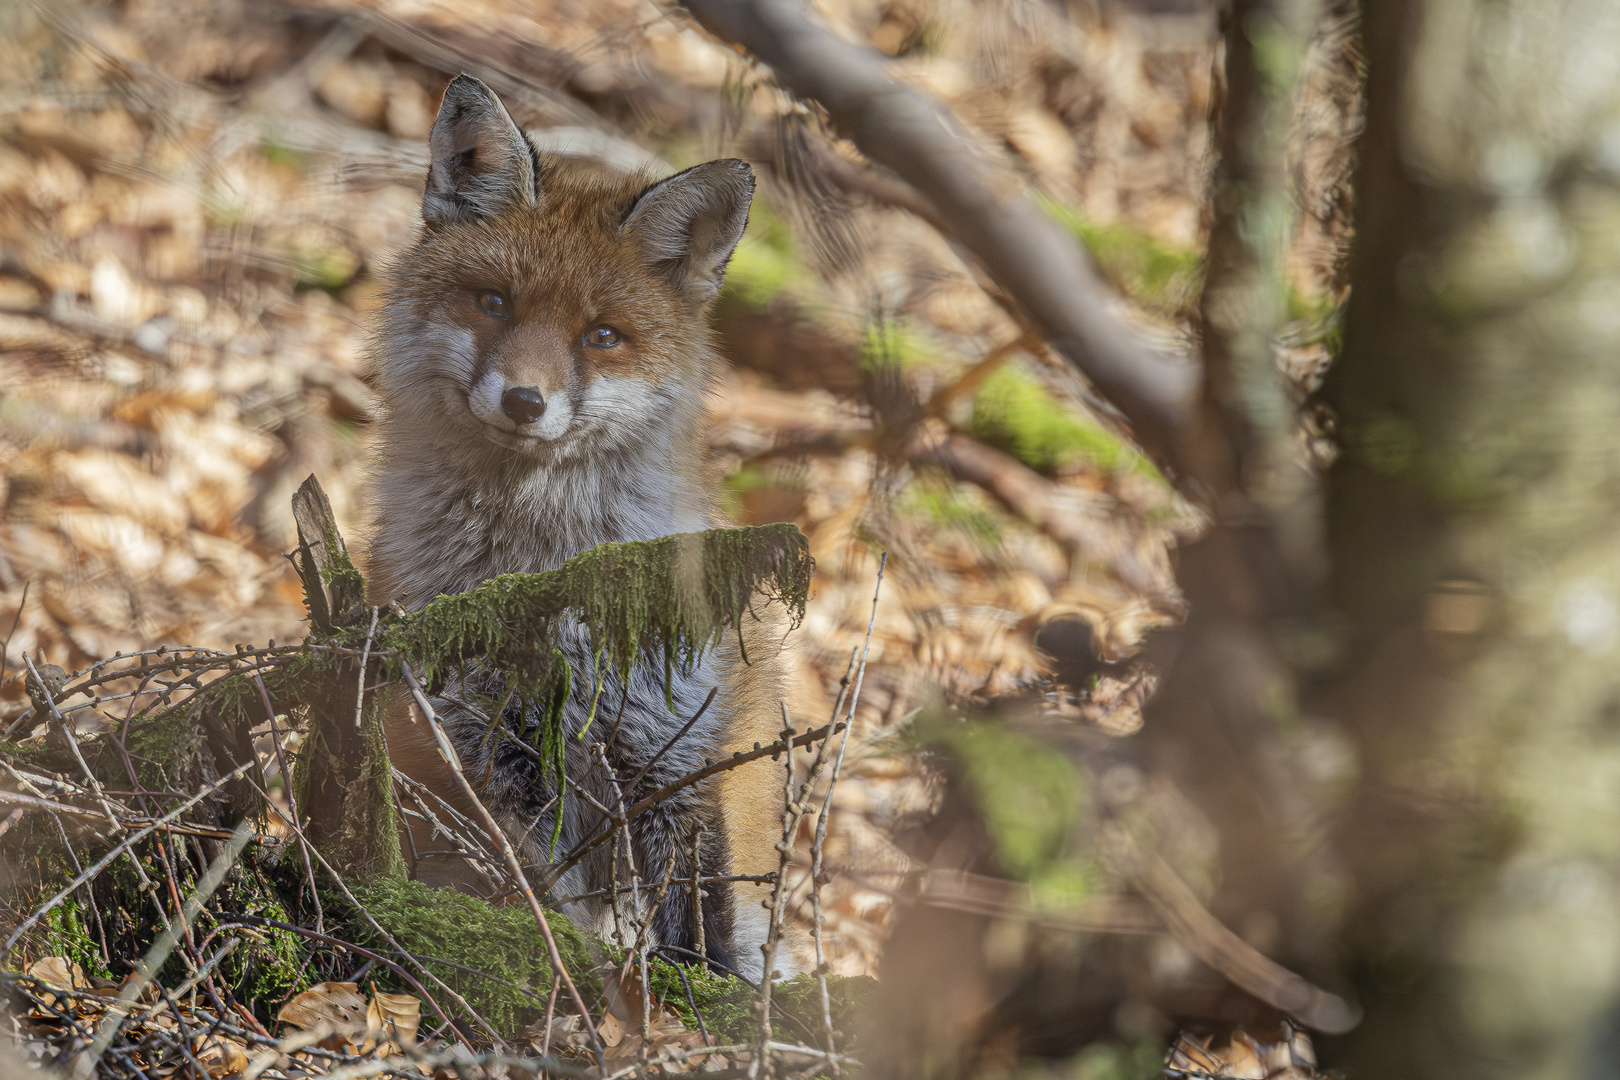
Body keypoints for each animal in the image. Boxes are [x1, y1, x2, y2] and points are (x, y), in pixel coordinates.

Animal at [364, 74, 800, 977]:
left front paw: (702, 999)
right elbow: (541, 897)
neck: (543, 575)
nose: (525, 401)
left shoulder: (673, 749)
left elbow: (694, 923)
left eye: (601, 335)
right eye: (494, 303)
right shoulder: (489, 752)